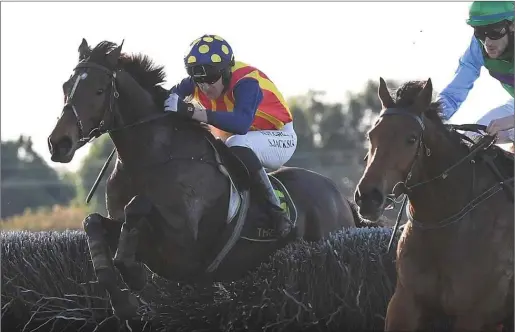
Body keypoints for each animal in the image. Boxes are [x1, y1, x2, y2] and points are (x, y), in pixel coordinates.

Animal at [46, 39, 364, 322]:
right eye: (65, 87)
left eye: (99, 91)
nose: (58, 143)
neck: (150, 160)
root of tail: (341, 198)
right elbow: (94, 223)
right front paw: (123, 302)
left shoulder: (183, 249)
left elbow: (137, 207)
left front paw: (134, 275)